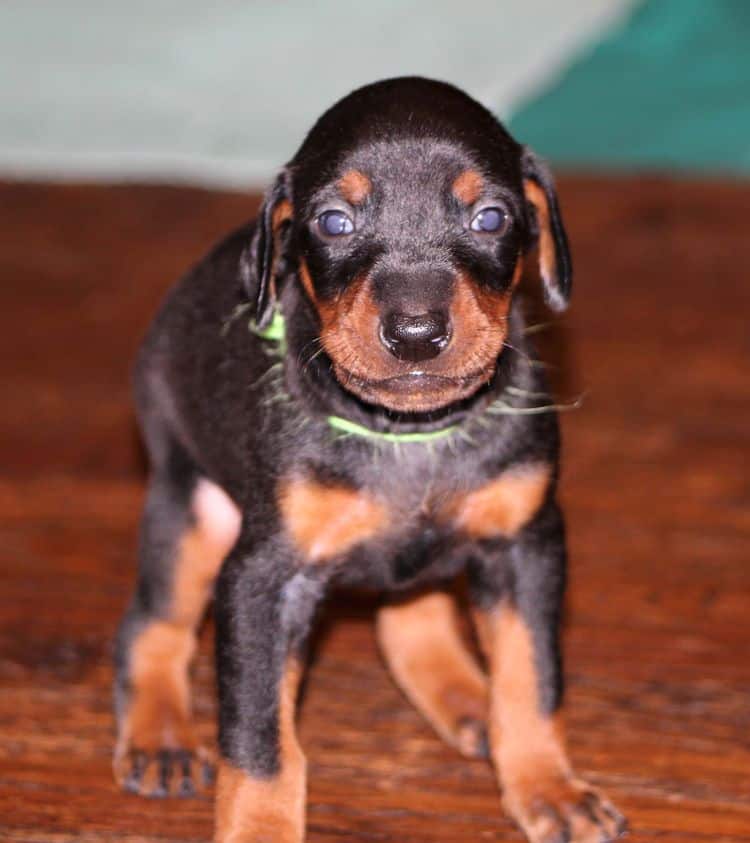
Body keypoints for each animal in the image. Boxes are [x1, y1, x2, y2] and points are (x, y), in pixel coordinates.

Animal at [113, 76, 628, 840]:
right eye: (333, 222)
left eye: (490, 217)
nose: (416, 333)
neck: (410, 435)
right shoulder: (262, 578)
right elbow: (260, 738)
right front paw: (259, 827)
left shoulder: (525, 544)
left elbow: (532, 680)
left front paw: (549, 787)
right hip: (194, 507)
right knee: (154, 624)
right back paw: (161, 737)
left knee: (408, 621)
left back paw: (469, 701)